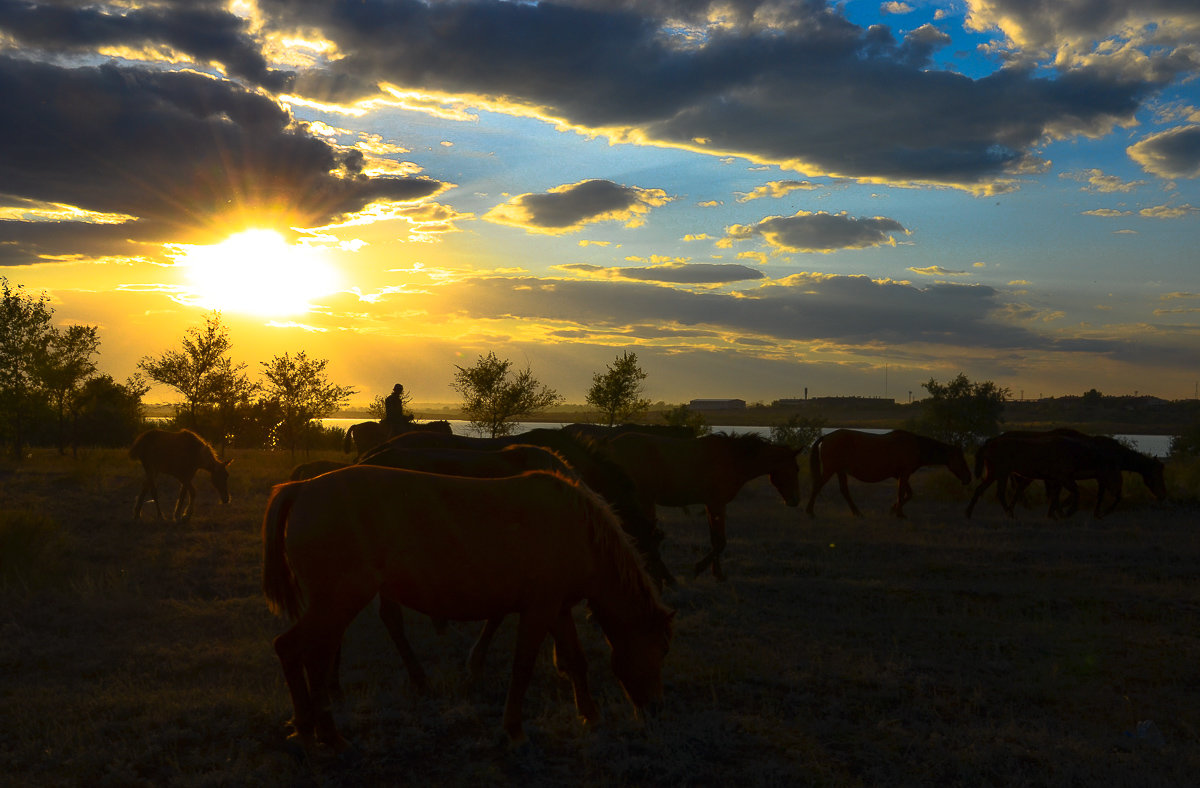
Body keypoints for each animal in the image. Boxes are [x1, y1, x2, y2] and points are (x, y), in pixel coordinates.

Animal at [264, 462, 676, 748]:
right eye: (659, 650)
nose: (657, 709)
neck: (578, 529)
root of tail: (302, 489)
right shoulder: (539, 610)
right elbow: (522, 668)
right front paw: (514, 730)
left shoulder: (557, 609)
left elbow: (576, 662)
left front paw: (589, 715)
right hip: (339, 600)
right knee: (301, 652)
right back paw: (327, 734)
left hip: (334, 604)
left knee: (301, 653)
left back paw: (309, 729)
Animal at [604, 429, 801, 578]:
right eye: (795, 469)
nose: (795, 500)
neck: (733, 459)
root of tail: (611, 446)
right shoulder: (717, 504)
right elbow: (720, 542)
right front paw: (700, 568)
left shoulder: (711, 505)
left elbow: (715, 540)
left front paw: (717, 573)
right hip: (643, 501)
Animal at [801, 426, 969, 520]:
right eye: (961, 460)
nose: (968, 478)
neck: (916, 446)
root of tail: (827, 437)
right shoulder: (905, 473)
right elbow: (903, 493)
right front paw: (899, 513)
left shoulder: (901, 475)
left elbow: (907, 494)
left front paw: (894, 509)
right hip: (830, 470)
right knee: (817, 486)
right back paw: (810, 512)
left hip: (840, 471)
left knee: (844, 491)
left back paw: (857, 513)